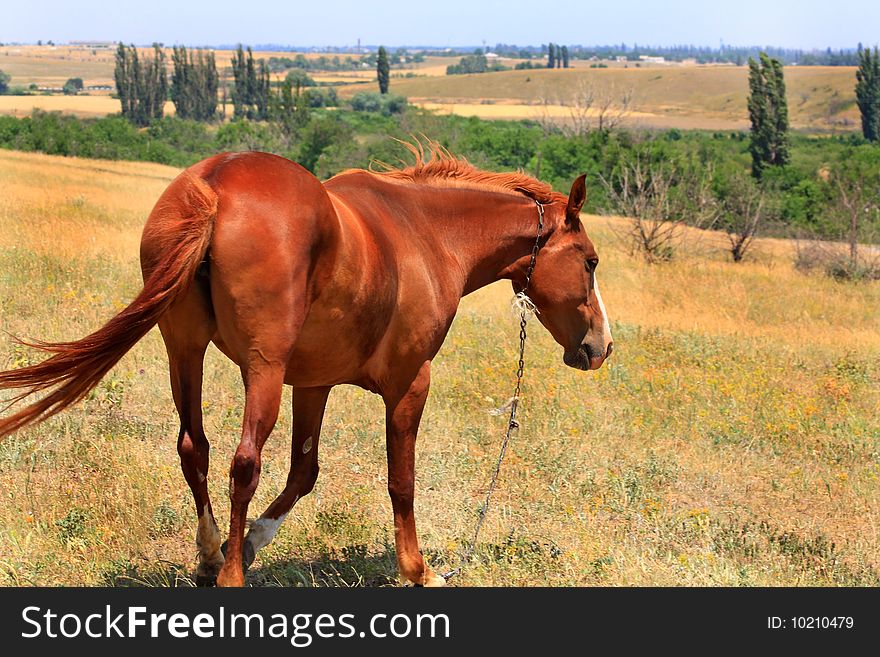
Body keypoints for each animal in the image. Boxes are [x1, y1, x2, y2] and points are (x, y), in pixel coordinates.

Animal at [0, 146, 612, 588]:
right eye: (590, 262)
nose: (601, 347)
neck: (428, 235)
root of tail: (214, 185)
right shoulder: (410, 384)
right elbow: (401, 481)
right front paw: (418, 571)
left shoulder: (313, 384)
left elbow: (304, 471)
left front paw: (247, 542)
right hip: (262, 370)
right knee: (243, 462)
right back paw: (230, 578)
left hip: (185, 352)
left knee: (194, 447)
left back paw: (211, 555)